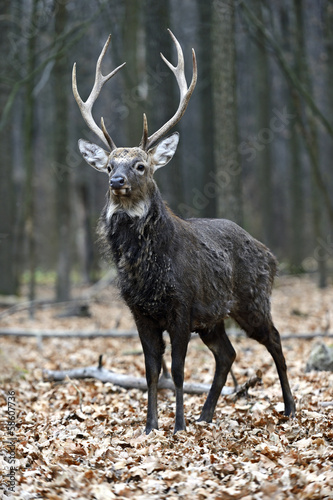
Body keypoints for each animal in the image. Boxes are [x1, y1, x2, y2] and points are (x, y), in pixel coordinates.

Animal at [71, 30, 294, 434]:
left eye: (140, 165)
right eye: (109, 164)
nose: (116, 181)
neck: (148, 272)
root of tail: (270, 255)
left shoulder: (182, 306)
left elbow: (176, 370)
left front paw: (177, 425)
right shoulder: (140, 313)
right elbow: (151, 372)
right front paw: (151, 426)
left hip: (252, 299)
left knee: (274, 339)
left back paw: (289, 407)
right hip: (214, 319)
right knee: (227, 353)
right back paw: (206, 414)